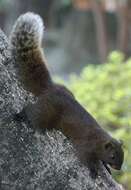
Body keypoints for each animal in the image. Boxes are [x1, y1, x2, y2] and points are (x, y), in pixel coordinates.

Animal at [9, 12, 124, 177]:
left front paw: (105, 167)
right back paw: (20, 116)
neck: (99, 140)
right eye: (113, 155)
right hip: (46, 113)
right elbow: (85, 158)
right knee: (32, 113)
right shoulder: (85, 146)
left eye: (123, 155)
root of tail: (51, 88)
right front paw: (94, 170)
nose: (119, 168)